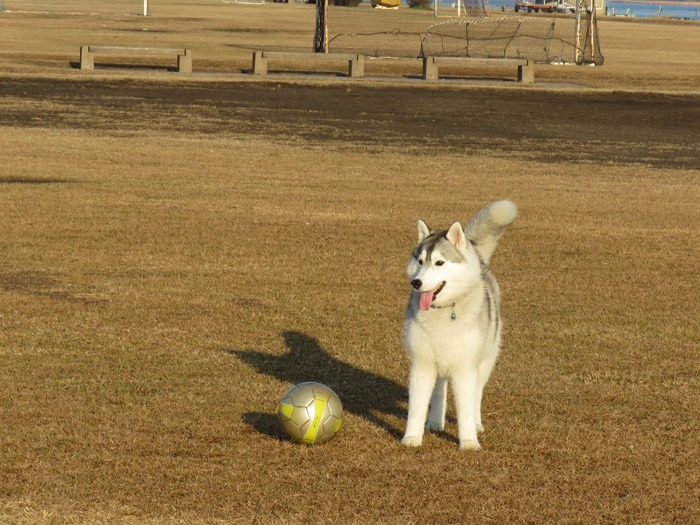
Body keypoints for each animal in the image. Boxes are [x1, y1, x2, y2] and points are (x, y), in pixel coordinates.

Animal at [402, 199, 516, 448]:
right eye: (420, 261)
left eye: (439, 262)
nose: (416, 283)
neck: (445, 311)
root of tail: (478, 258)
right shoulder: (422, 364)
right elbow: (416, 408)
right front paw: (412, 438)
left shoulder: (466, 368)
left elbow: (465, 409)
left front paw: (469, 442)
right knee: (439, 391)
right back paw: (435, 421)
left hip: (484, 362)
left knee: (476, 395)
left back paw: (477, 424)